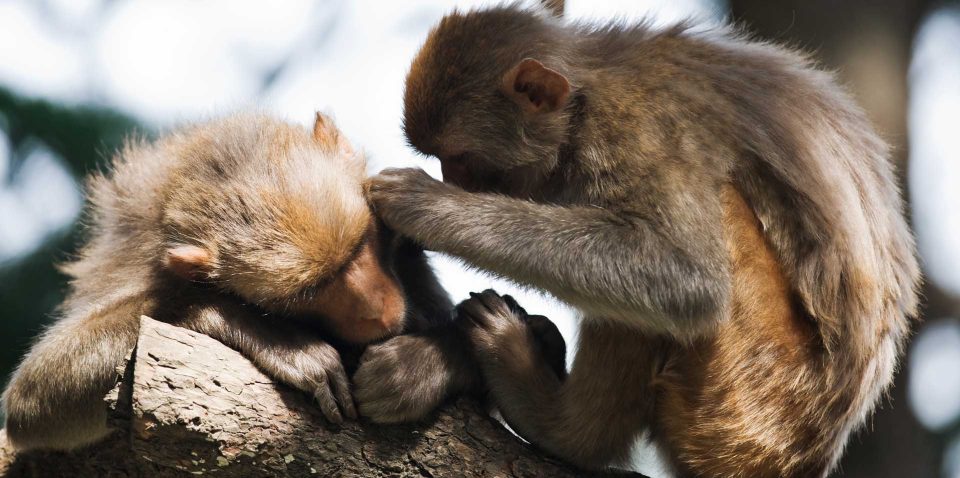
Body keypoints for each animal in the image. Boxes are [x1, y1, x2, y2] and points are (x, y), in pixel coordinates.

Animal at [1, 112, 466, 452]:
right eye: (310, 291)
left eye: (359, 245)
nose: (375, 310)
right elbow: (32, 400)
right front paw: (277, 340)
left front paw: (414, 372)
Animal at [358, 5, 921, 477]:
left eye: (459, 159)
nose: (450, 181)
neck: (583, 102)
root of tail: (808, 454)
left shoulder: (640, 130)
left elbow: (684, 278)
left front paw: (427, 209)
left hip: (751, 403)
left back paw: (564, 428)